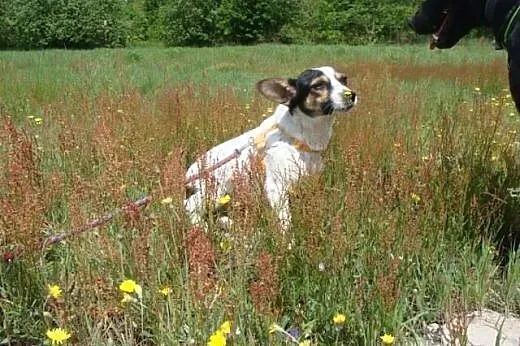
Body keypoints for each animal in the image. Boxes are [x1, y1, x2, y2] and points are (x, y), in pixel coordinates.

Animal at [184, 66, 358, 231]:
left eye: (344, 79)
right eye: (318, 86)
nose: (352, 94)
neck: (297, 139)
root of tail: (187, 176)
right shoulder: (276, 187)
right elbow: (285, 221)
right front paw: (288, 240)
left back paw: (225, 222)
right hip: (217, 188)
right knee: (189, 206)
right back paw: (201, 226)